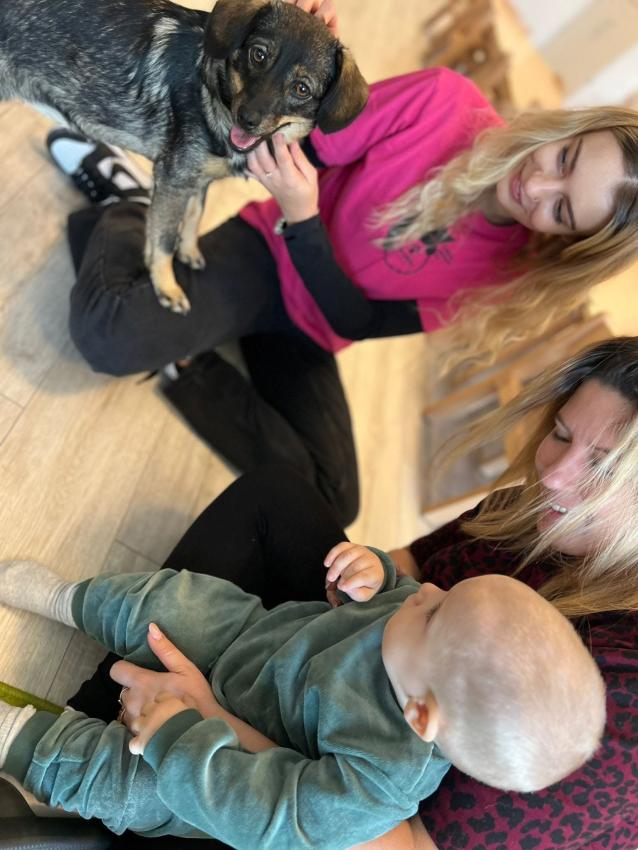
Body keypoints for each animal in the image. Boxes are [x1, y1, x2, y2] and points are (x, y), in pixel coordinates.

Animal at [0, 0, 368, 313]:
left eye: (302, 89)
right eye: (258, 55)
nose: (247, 118)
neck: (212, 89)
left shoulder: (195, 181)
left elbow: (193, 216)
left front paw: (187, 251)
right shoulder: (173, 181)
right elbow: (163, 241)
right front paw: (166, 286)